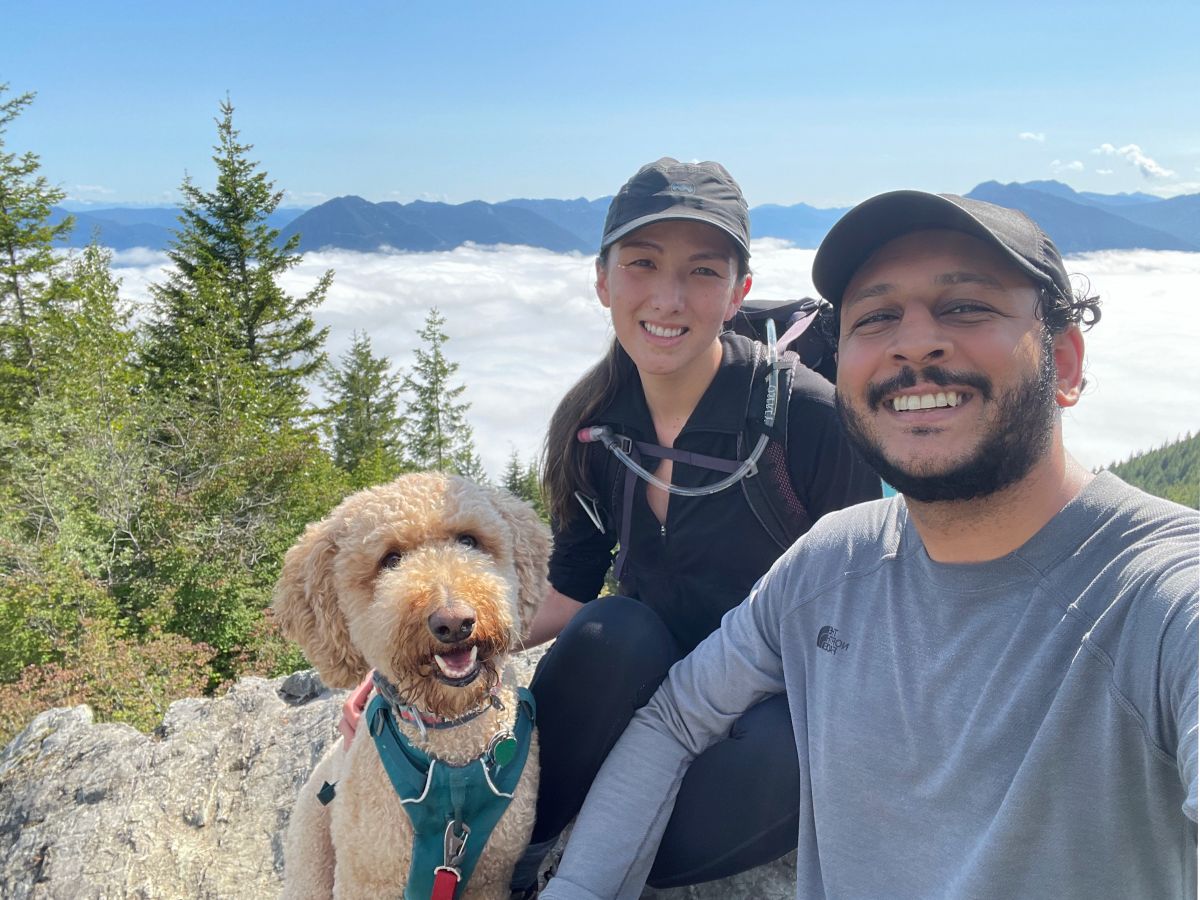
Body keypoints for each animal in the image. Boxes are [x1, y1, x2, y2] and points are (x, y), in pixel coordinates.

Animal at [272, 475, 549, 897]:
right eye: (390, 560)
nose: (454, 622)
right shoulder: (369, 879)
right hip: (311, 861)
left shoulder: (492, 875)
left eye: (469, 540)